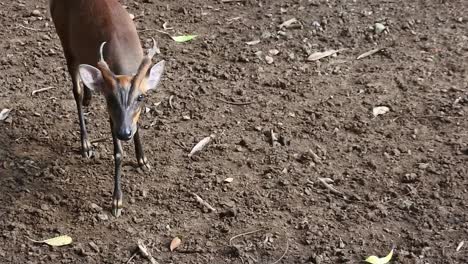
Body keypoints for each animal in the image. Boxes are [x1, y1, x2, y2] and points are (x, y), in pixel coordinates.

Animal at [49, 0, 165, 217]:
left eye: (141, 97)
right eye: (110, 98)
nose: (124, 133)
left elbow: (137, 125)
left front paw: (142, 159)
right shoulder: (112, 114)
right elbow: (118, 153)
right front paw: (117, 201)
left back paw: (88, 97)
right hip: (64, 39)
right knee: (76, 89)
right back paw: (86, 144)